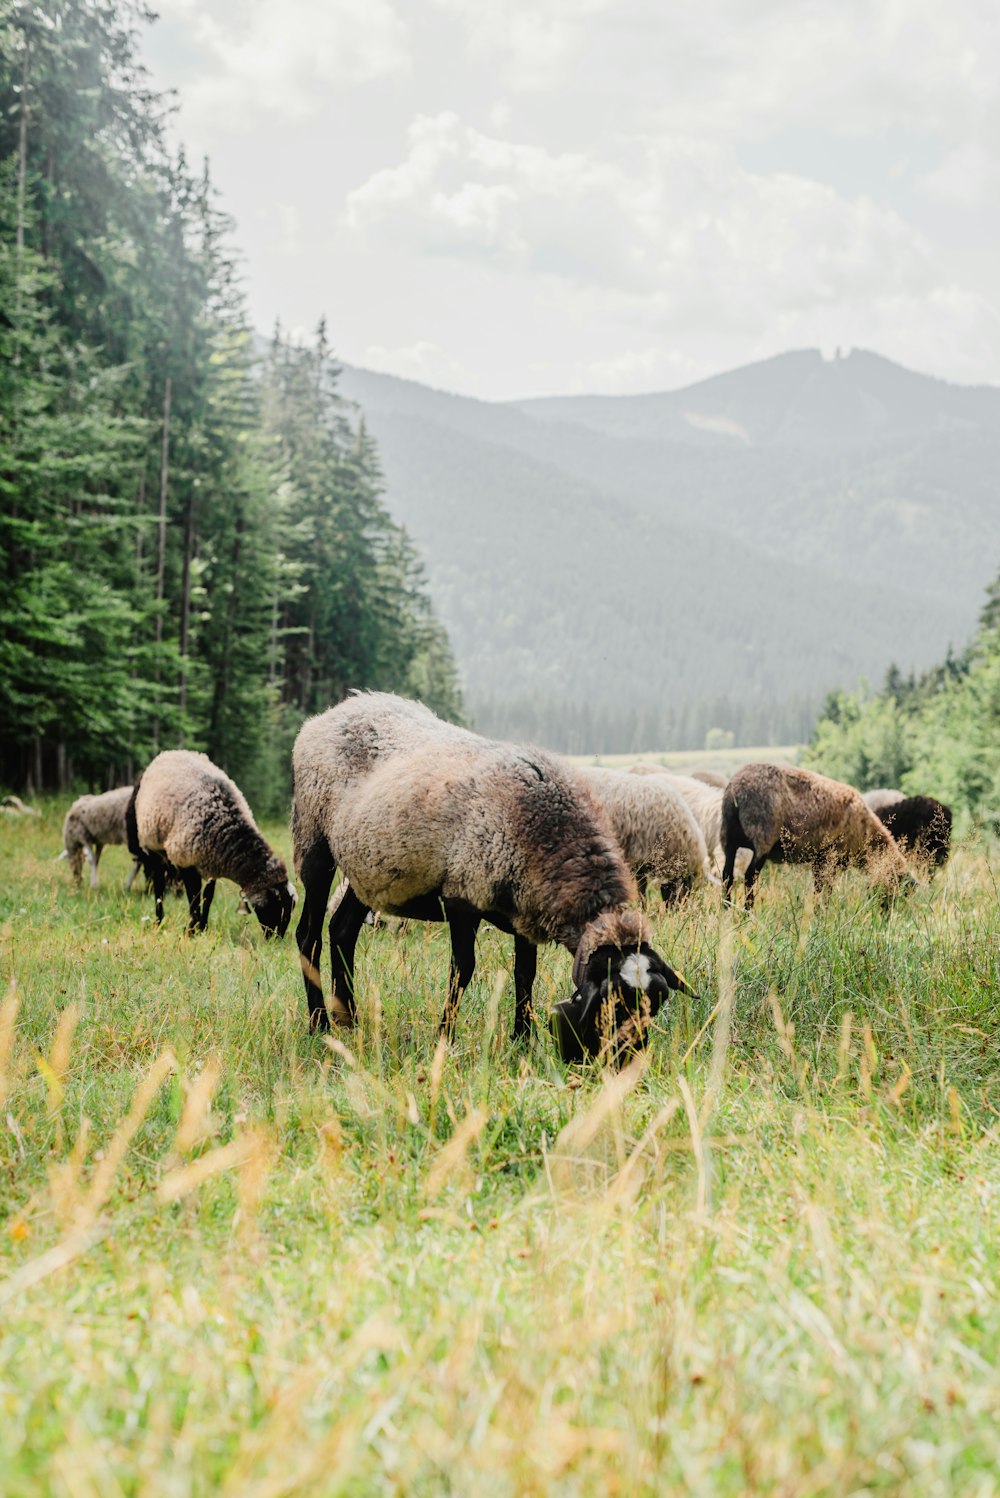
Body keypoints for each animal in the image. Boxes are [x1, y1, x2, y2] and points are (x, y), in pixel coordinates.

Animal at [127, 749, 294, 934]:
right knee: (158, 887)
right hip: (153, 848)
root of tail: (169, 752)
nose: (276, 937)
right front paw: (192, 930)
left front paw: (202, 927)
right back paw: (158, 921)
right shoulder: (187, 862)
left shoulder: (210, 862)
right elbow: (194, 897)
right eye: (276, 906)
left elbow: (208, 896)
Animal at [293, 689, 691, 1054]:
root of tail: (331, 713)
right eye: (614, 1004)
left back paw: (350, 1020)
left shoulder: (527, 907)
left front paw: (523, 1040)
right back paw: (319, 1023)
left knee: (342, 930)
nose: (629, 1065)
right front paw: (445, 1039)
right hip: (314, 841)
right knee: (308, 934)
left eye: (656, 1004)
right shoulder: (462, 896)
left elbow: (524, 973)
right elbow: (462, 970)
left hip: (368, 870)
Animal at [721, 766, 910, 904]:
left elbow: (820, 890)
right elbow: (825, 892)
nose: (885, 915)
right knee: (749, 878)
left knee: (727, 877)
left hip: (728, 839)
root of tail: (735, 790)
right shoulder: (829, 856)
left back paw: (727, 911)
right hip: (762, 835)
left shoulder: (820, 860)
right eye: (895, 883)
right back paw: (747, 914)